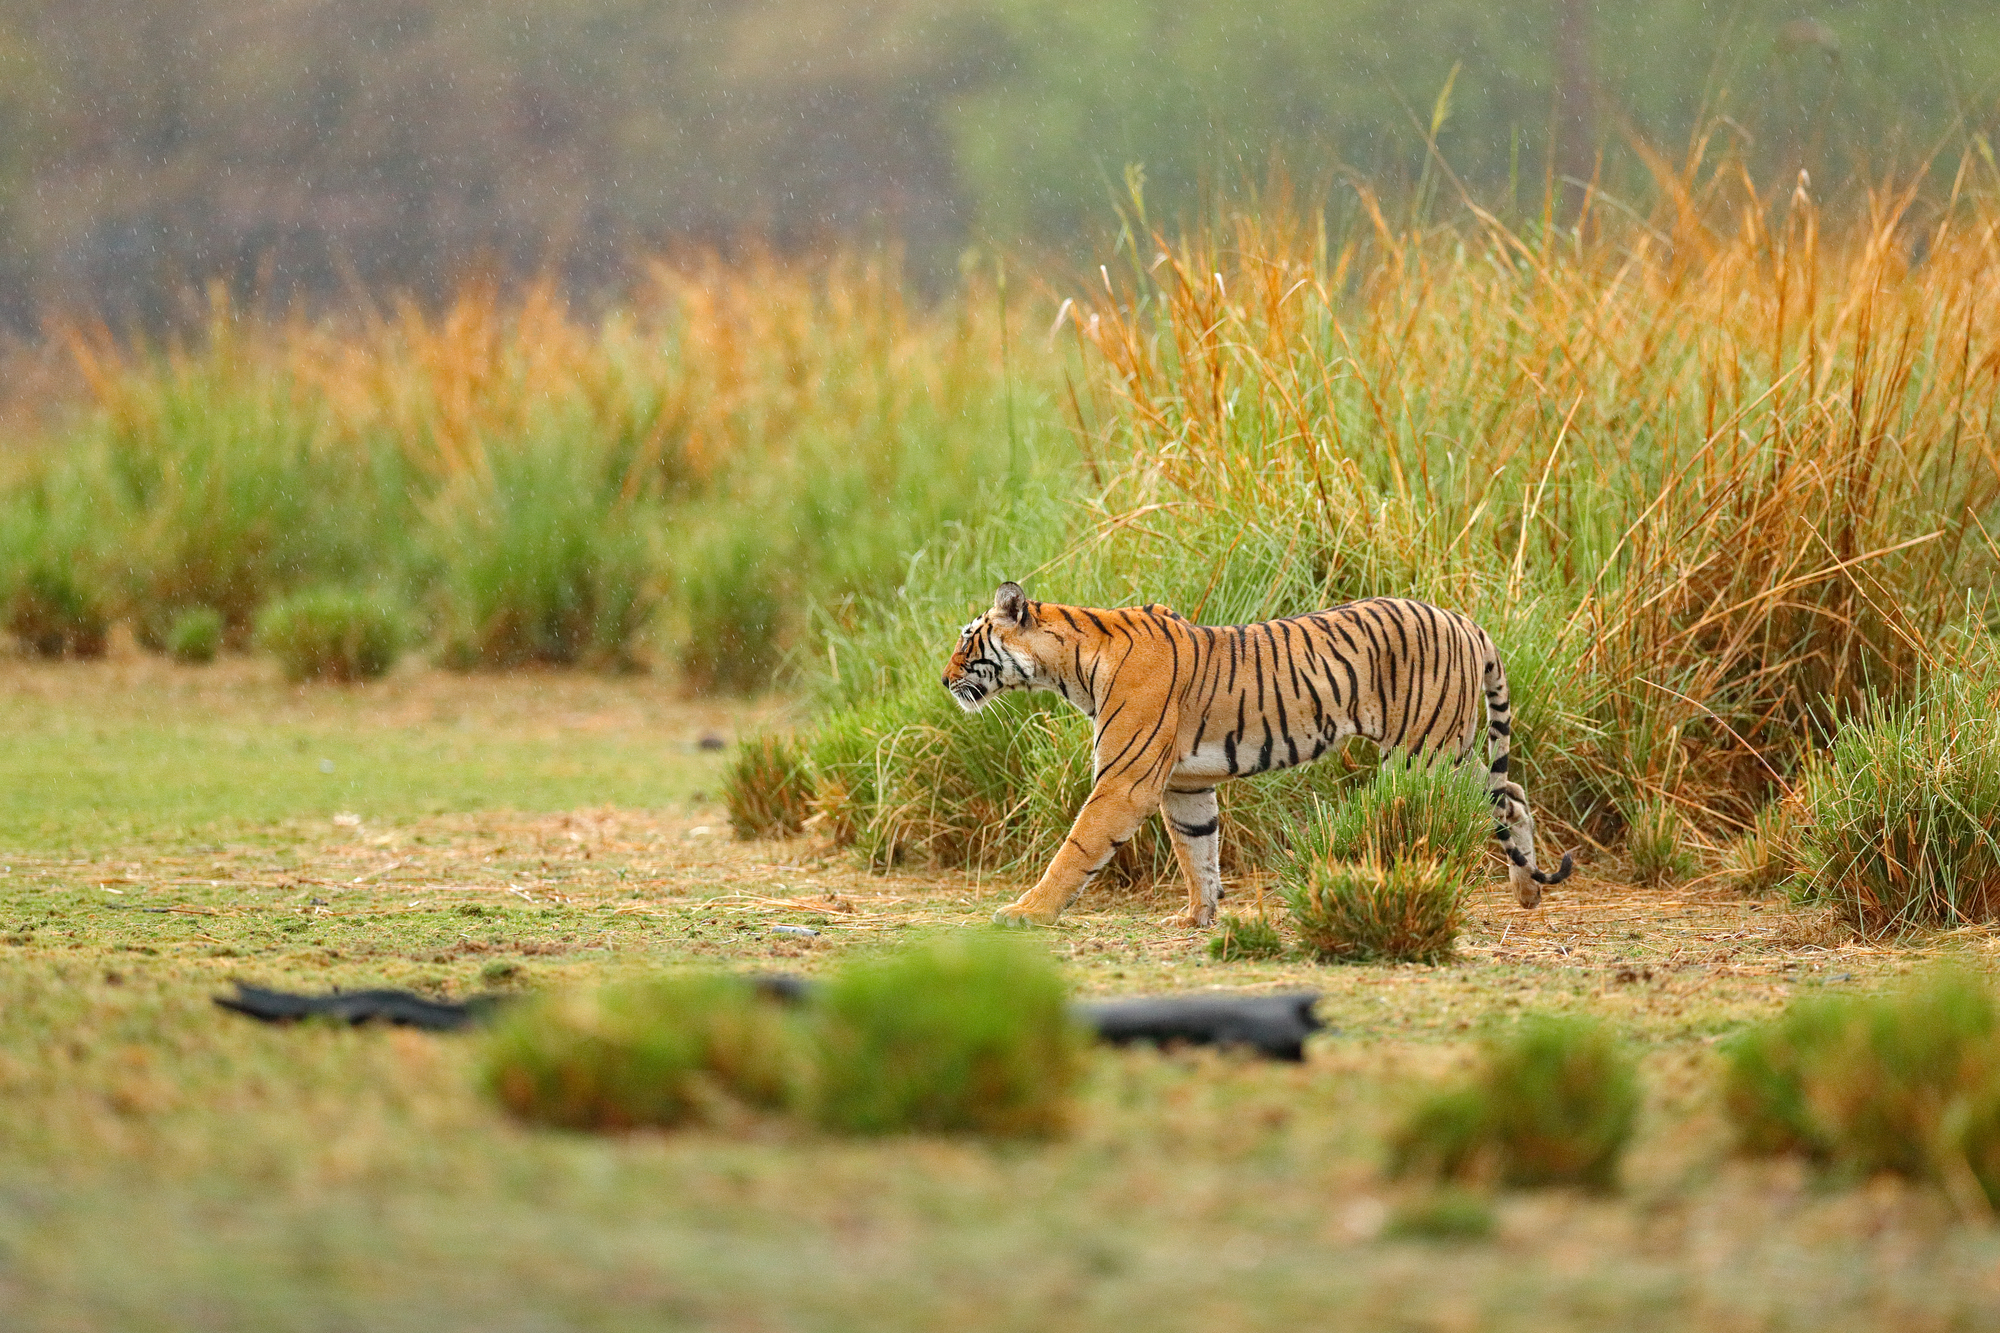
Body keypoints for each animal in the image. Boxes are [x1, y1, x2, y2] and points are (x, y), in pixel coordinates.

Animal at [944, 580, 1568, 924]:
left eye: (966, 641)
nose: (944, 680)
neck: (1068, 664)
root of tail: (1464, 619)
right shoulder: (1186, 785)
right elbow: (1198, 852)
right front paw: (1196, 917)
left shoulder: (1125, 781)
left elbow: (1075, 850)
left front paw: (1026, 912)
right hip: (1448, 748)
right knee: (1510, 794)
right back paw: (1529, 893)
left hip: (1425, 752)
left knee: (1485, 801)